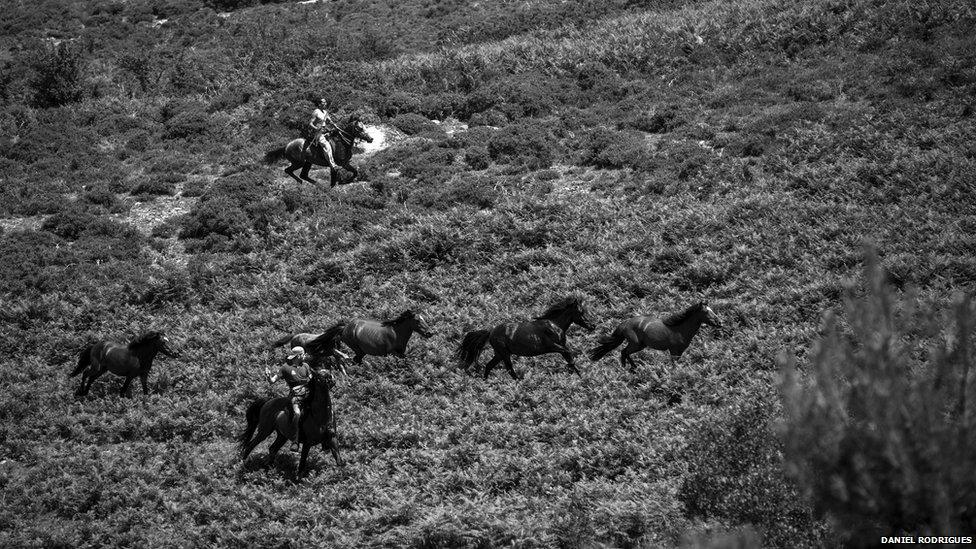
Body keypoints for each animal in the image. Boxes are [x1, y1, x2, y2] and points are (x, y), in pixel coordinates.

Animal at [238, 324, 346, 474]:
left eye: (328, 371)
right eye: (319, 376)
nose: (332, 380)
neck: (320, 416)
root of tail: (267, 402)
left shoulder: (332, 439)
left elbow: (339, 462)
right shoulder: (307, 443)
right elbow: (301, 467)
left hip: (282, 435)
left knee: (272, 448)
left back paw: (269, 469)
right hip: (265, 430)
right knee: (251, 445)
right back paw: (242, 465)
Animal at [456, 298, 596, 378]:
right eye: (581, 312)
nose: (593, 325)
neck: (555, 325)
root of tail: (490, 332)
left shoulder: (561, 346)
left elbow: (570, 359)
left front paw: (582, 377)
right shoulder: (554, 347)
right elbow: (570, 356)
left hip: (500, 354)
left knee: (489, 366)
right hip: (504, 354)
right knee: (510, 370)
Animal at [592, 300, 720, 368]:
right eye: (706, 312)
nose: (719, 322)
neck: (680, 329)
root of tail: (625, 323)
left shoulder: (680, 351)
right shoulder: (673, 351)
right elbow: (674, 365)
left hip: (641, 345)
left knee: (624, 352)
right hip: (636, 344)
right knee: (624, 352)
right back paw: (630, 368)